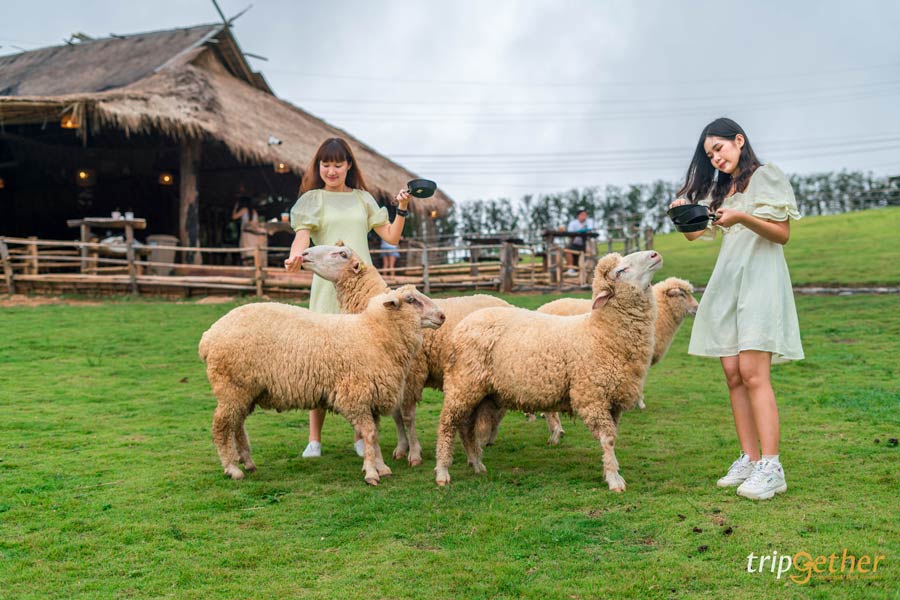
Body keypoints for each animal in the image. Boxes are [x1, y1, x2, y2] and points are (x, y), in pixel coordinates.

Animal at [198, 285, 445, 484]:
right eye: (411, 300)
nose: (442, 316)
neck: (373, 334)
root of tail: (208, 337)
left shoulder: (371, 398)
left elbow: (373, 435)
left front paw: (380, 467)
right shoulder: (355, 396)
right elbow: (369, 434)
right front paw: (371, 473)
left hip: (245, 391)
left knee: (237, 425)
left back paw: (248, 462)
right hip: (231, 387)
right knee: (221, 426)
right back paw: (232, 468)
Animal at [299, 243, 511, 466]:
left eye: (341, 254)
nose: (304, 254)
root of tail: (510, 305)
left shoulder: (410, 375)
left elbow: (407, 417)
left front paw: (415, 453)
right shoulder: (392, 375)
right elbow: (396, 416)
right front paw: (402, 448)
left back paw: (485, 437)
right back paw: (487, 437)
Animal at [434, 251, 662, 491]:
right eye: (621, 271)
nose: (654, 254)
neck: (600, 334)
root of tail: (463, 325)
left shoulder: (613, 400)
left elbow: (612, 437)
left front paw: (611, 471)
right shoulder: (593, 396)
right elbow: (607, 439)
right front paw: (614, 478)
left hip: (482, 392)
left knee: (467, 426)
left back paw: (477, 463)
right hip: (462, 384)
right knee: (447, 425)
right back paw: (443, 471)